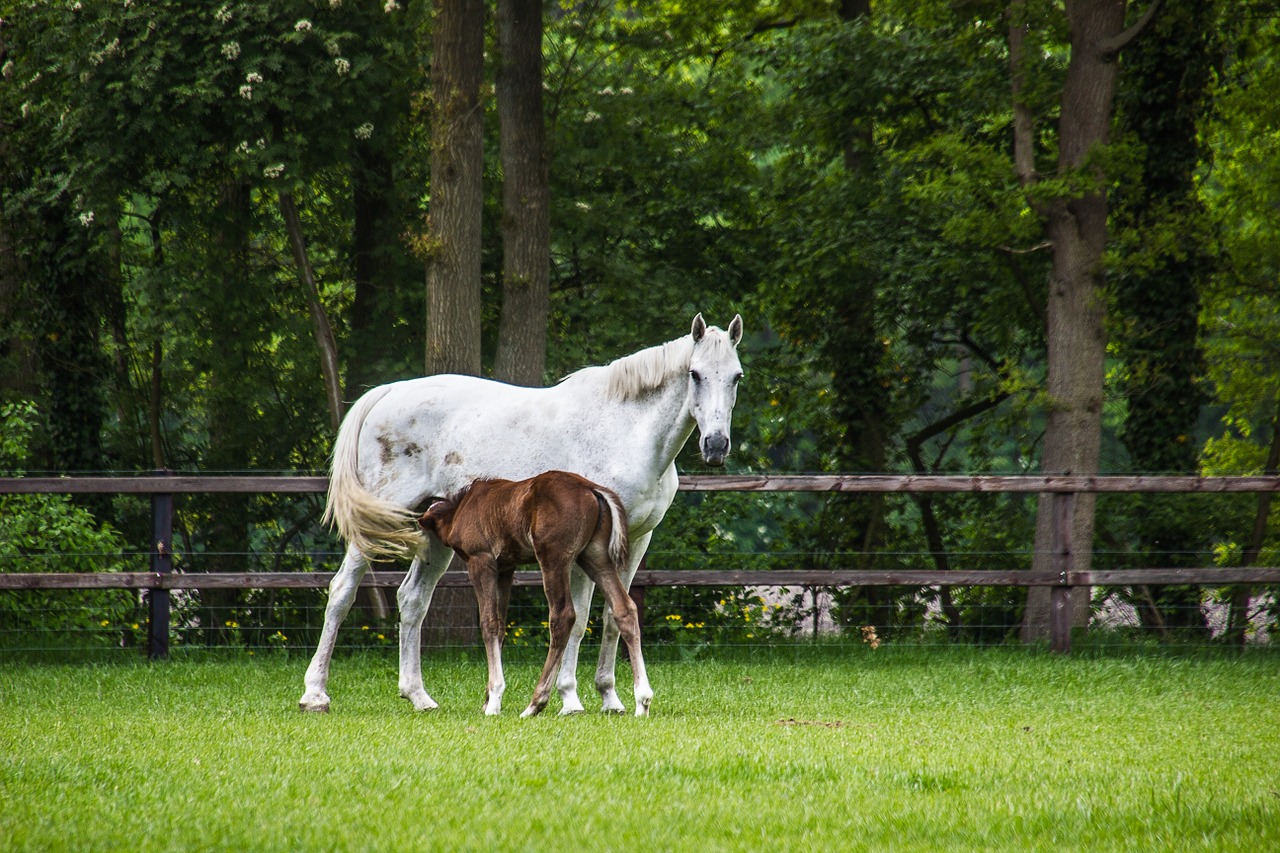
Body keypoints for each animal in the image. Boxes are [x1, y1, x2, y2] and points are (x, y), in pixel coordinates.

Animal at [419, 468, 655, 712]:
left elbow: (488, 623)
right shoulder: (505, 569)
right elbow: (500, 625)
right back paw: (642, 700)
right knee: (624, 609)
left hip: (554, 557)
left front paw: (493, 699)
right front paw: (489, 700)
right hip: (595, 556)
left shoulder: (481, 560)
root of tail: (591, 488)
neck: (460, 509)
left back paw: (536, 703)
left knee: (563, 616)